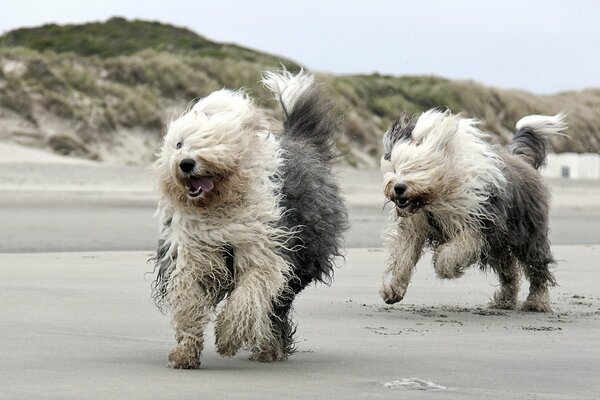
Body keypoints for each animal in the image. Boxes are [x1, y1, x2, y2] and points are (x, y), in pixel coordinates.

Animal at [150, 71, 346, 368]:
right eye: (179, 143)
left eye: (212, 140)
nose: (185, 163)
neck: (219, 207)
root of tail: (300, 140)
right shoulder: (192, 256)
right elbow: (189, 303)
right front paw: (185, 352)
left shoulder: (265, 252)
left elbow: (247, 297)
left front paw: (227, 337)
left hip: (301, 262)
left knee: (276, 307)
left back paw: (269, 348)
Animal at [380, 109, 568, 312]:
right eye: (394, 168)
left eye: (419, 168)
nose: (398, 187)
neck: (437, 196)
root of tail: (520, 159)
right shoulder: (414, 227)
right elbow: (404, 257)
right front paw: (394, 289)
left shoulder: (478, 224)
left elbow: (455, 250)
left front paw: (445, 267)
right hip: (499, 244)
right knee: (509, 271)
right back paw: (505, 300)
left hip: (527, 234)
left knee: (537, 267)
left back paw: (536, 301)